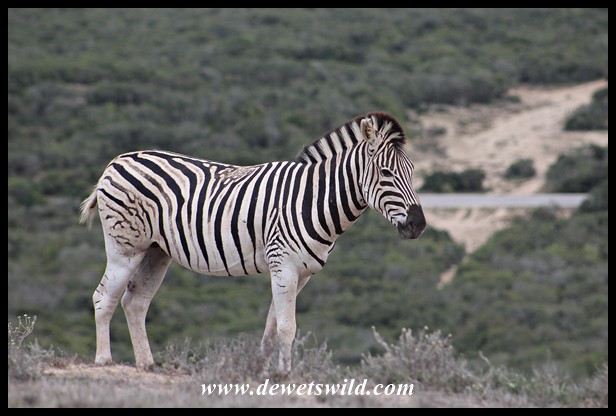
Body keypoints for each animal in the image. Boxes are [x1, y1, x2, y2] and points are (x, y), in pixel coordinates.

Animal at [79, 112, 426, 373]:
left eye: (412, 172)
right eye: (386, 173)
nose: (418, 225)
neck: (314, 199)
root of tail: (118, 160)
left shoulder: (301, 273)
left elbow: (273, 326)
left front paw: (263, 370)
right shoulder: (283, 265)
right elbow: (287, 327)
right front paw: (285, 375)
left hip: (156, 251)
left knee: (135, 302)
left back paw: (147, 364)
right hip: (125, 247)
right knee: (103, 297)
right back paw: (104, 361)